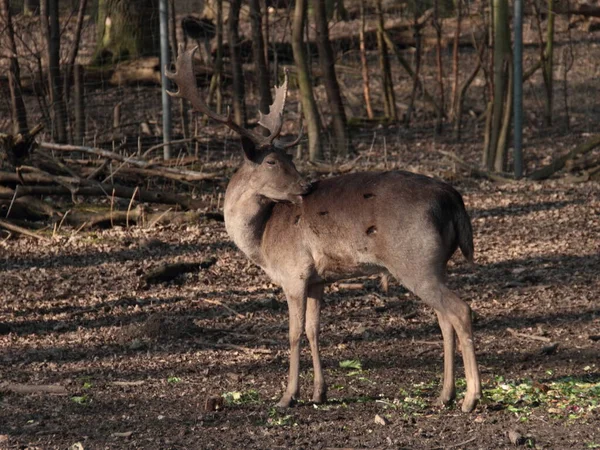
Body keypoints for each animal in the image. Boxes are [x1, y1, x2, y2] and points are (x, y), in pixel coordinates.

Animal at [165, 48, 482, 412]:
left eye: (288, 158)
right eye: (273, 161)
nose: (305, 186)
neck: (262, 240)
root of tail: (452, 198)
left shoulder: (293, 273)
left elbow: (293, 333)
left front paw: (287, 395)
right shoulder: (318, 279)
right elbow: (314, 330)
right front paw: (319, 392)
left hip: (415, 260)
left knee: (460, 310)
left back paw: (471, 398)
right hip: (436, 263)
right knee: (444, 318)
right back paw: (445, 394)